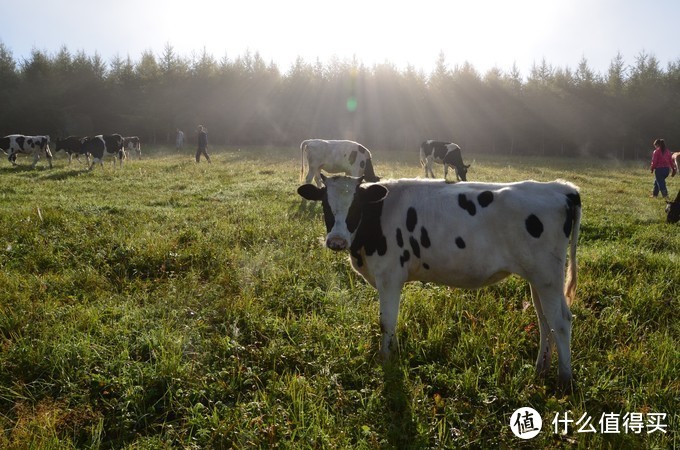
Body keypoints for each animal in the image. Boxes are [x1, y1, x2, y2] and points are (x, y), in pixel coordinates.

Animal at [298, 174, 580, 384]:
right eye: (325, 205)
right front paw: (394, 352)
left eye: (356, 205)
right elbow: (392, 322)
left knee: (560, 321)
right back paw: (541, 369)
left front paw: (385, 358)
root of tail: (560, 188)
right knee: (544, 320)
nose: (336, 241)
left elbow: (386, 321)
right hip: (537, 278)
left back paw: (564, 379)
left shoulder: (389, 276)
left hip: (547, 277)